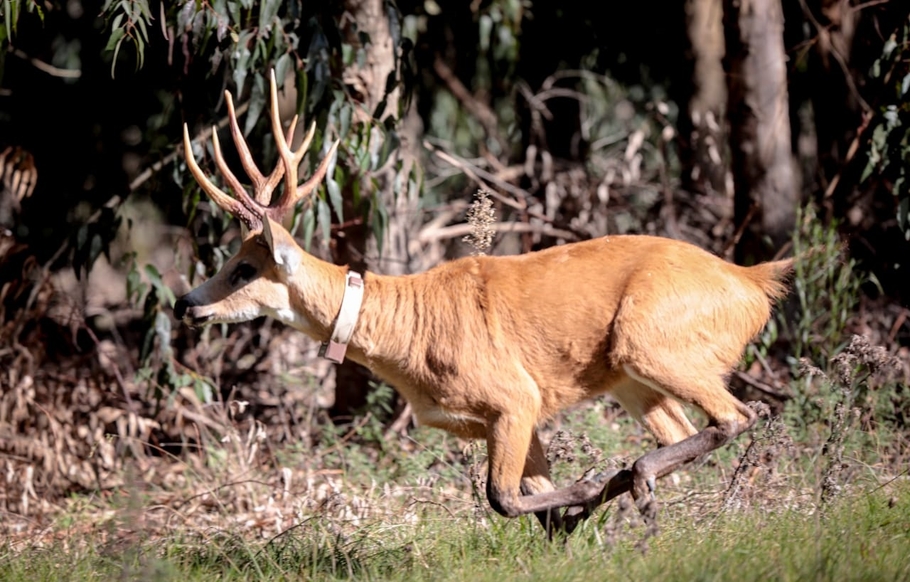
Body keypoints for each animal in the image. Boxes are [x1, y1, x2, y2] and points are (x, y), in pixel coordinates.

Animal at [174, 72, 794, 537]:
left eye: (243, 268)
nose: (185, 303)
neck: (406, 332)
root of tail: (754, 284)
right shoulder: (500, 417)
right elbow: (536, 500)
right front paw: (578, 516)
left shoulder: (514, 395)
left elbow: (501, 497)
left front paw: (588, 489)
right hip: (632, 375)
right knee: (681, 430)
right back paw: (633, 488)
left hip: (650, 340)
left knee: (738, 415)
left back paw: (631, 476)